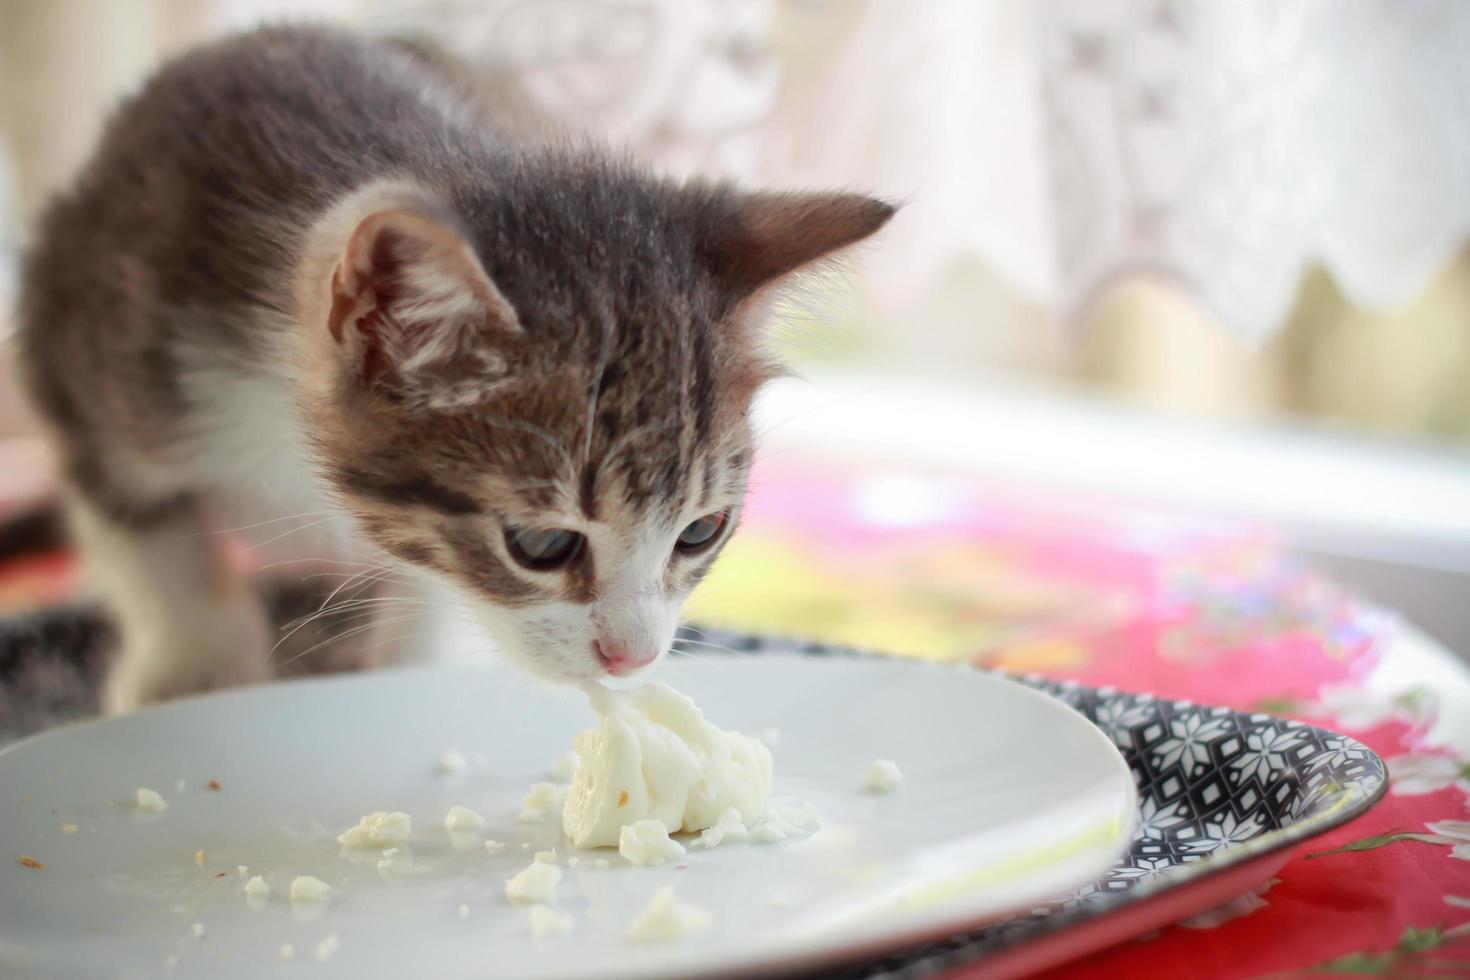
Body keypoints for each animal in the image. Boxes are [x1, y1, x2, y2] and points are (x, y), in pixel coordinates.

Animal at [17, 24, 887, 714]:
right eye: (542, 545)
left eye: (701, 530)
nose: (632, 659)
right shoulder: (94, 350)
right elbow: (151, 543)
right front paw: (192, 672)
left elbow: (424, 591)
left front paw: (402, 678)